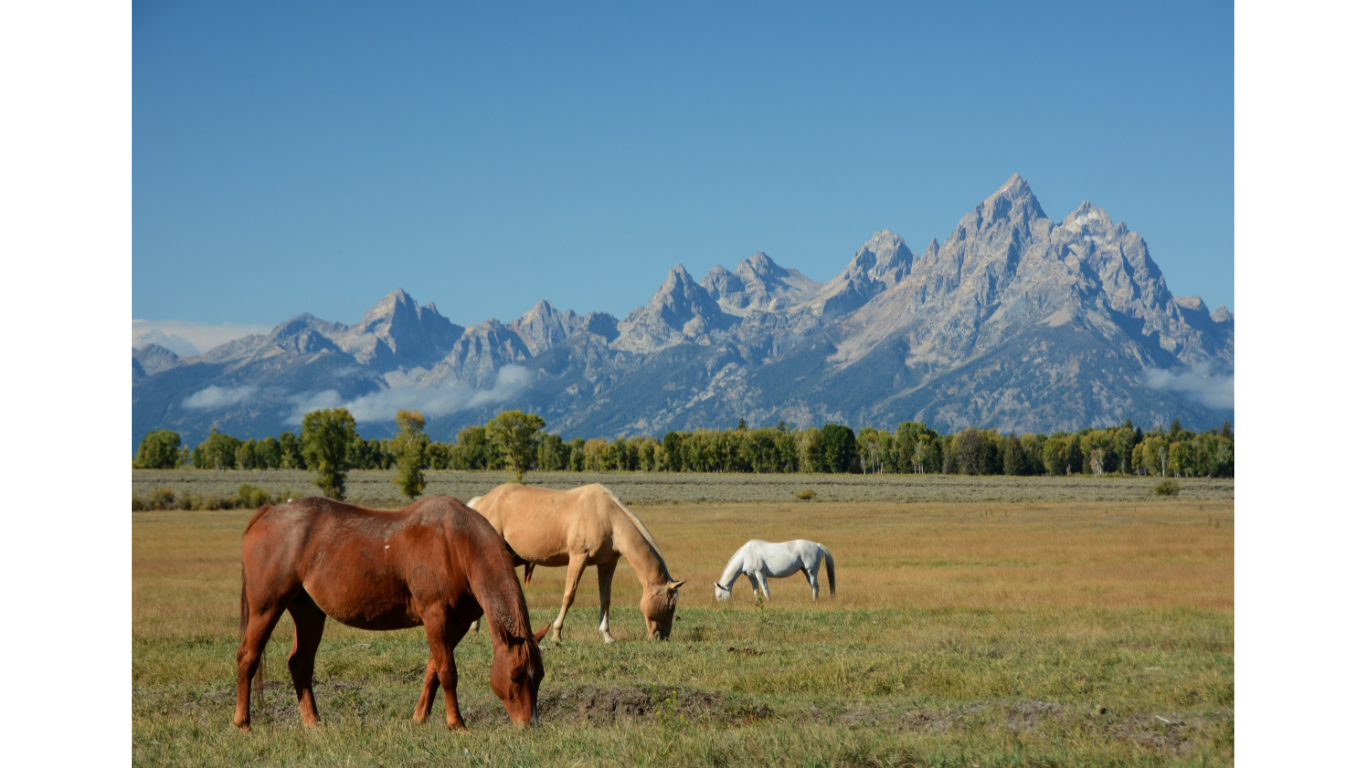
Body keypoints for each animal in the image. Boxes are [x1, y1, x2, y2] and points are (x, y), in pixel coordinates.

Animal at [233, 496, 549, 732]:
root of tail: (268, 512)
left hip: (309, 613)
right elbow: (447, 671)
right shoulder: (435, 616)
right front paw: (456, 724)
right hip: (266, 608)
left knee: (300, 663)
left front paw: (420, 718)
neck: (457, 544)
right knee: (248, 656)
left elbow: (433, 669)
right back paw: (243, 723)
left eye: (540, 676)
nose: (529, 724)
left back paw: (312, 723)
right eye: (514, 677)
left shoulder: (457, 623)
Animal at [467, 484, 684, 644]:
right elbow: (569, 596)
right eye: (670, 604)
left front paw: (607, 635)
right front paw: (556, 634)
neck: (607, 517)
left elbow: (605, 599)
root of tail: (480, 502)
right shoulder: (578, 559)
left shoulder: (607, 564)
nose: (662, 637)